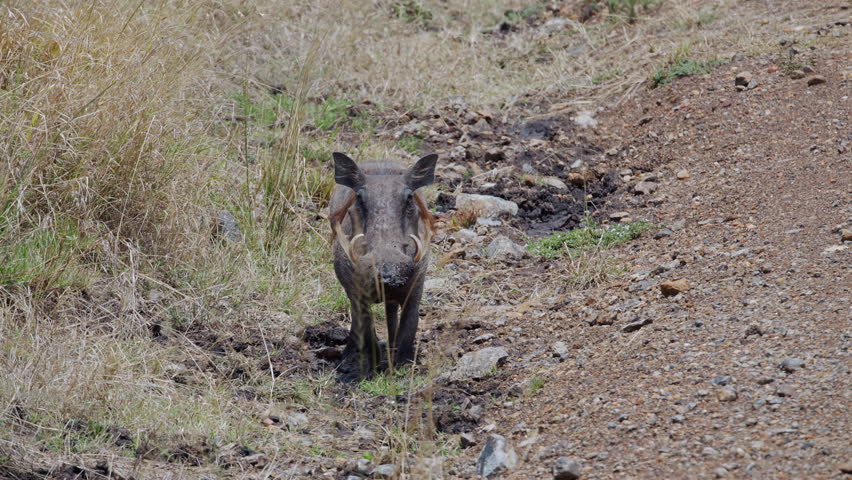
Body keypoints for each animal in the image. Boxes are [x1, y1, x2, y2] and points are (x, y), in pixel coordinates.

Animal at [329, 152, 438, 377]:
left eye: (409, 198)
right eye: (359, 198)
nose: (389, 273)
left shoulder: (417, 284)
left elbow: (409, 325)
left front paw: (403, 367)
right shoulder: (357, 293)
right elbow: (366, 328)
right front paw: (373, 370)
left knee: (391, 313)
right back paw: (349, 354)